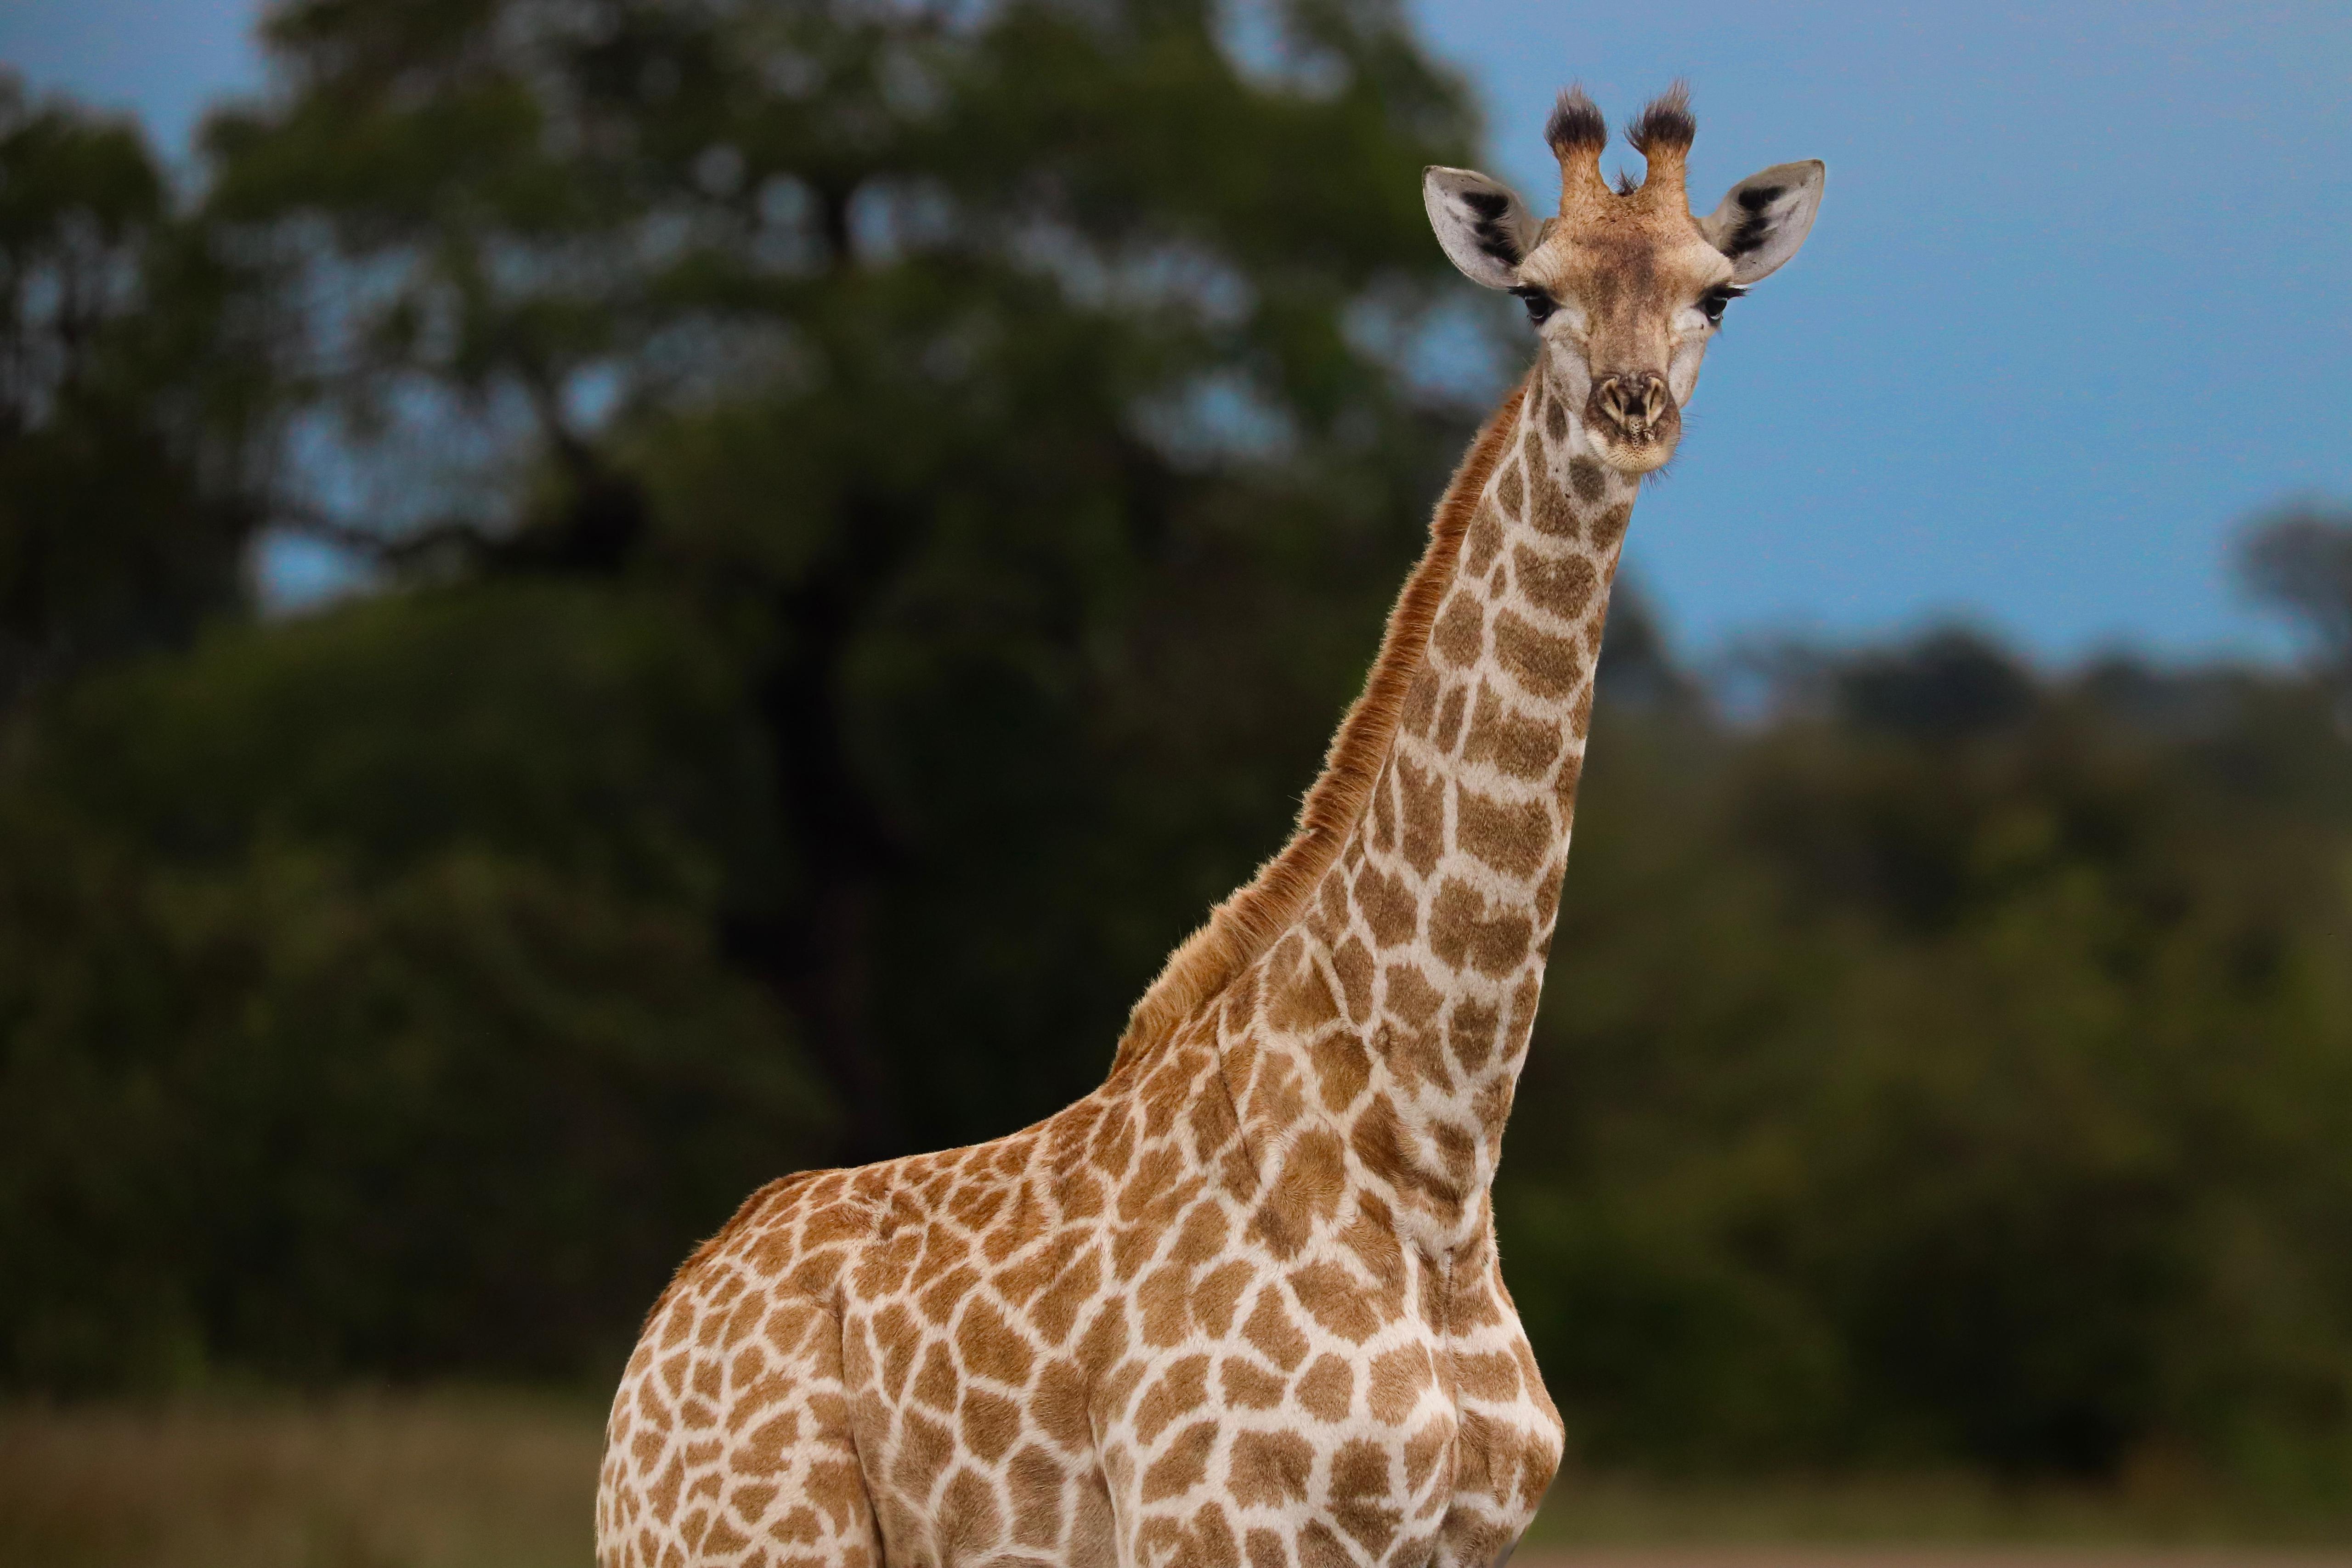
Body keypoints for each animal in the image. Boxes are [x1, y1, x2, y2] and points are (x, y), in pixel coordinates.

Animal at [597, 83, 1823, 1568]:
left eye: (1717, 296)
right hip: (742, 1542)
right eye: (1533, 294)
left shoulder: (1459, 1539)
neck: (1432, 1164)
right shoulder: (1215, 1520)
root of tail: (663, 1323)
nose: (1628, 407)